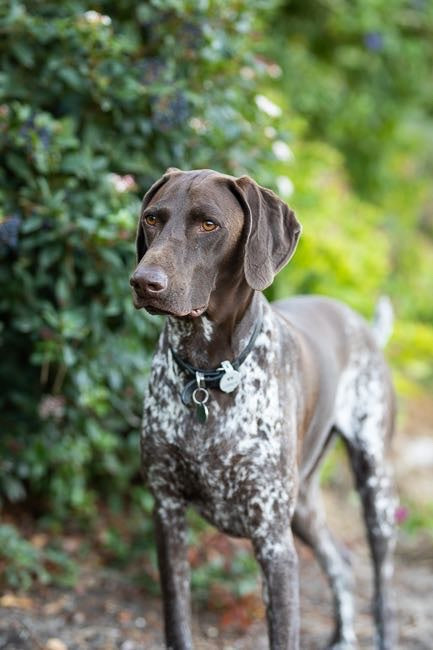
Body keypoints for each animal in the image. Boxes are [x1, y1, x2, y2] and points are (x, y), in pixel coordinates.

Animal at [130, 168, 396, 648]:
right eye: (152, 218)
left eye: (209, 225)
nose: (144, 282)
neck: (207, 373)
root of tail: (362, 324)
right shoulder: (167, 512)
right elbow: (177, 622)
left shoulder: (273, 542)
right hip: (304, 506)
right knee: (342, 562)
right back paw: (343, 636)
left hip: (375, 487)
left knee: (382, 589)